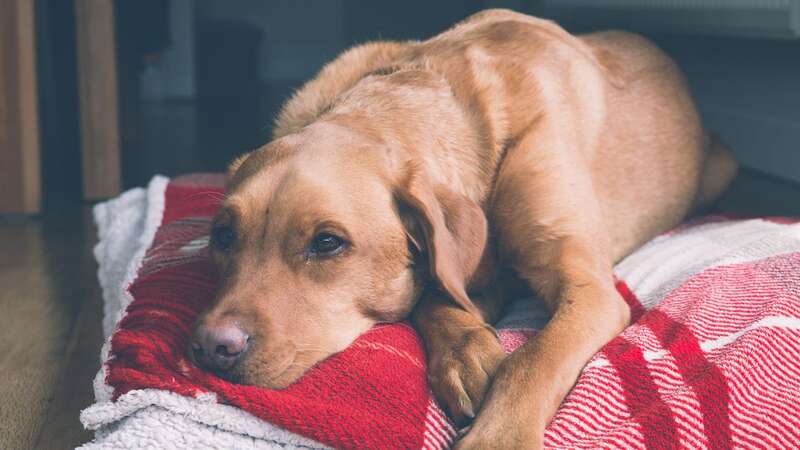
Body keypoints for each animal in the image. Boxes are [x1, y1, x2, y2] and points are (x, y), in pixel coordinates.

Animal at [189, 8, 736, 448]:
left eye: (327, 243)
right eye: (223, 236)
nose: (211, 346)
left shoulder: (590, 288)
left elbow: (532, 359)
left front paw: (499, 436)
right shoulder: (478, 275)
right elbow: (438, 295)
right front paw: (466, 354)